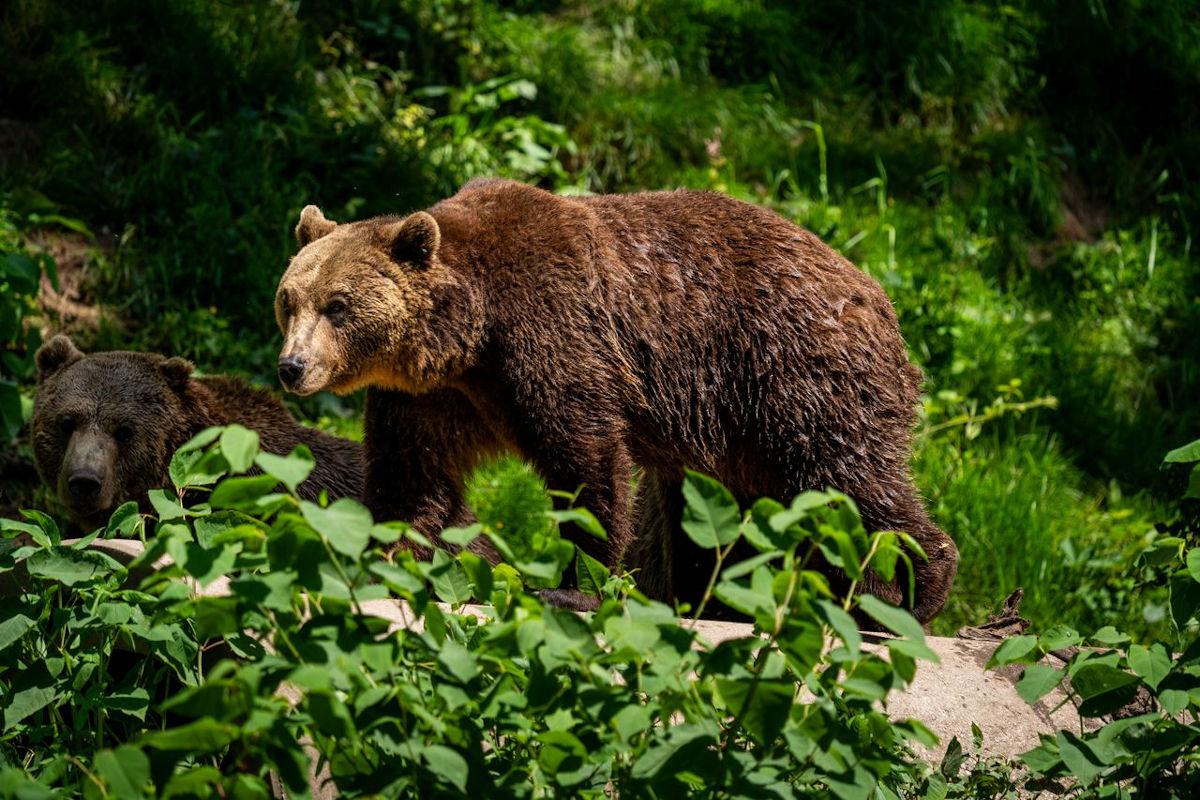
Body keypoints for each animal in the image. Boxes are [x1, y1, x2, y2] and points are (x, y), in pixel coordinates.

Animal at [272, 178, 958, 622]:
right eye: (290, 299)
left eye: (338, 305)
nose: (291, 367)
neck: (470, 335)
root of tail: (877, 294)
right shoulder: (434, 397)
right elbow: (412, 475)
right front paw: (385, 559)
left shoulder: (553, 337)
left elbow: (587, 460)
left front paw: (575, 585)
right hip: (736, 431)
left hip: (793, 373)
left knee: (847, 479)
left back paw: (915, 588)